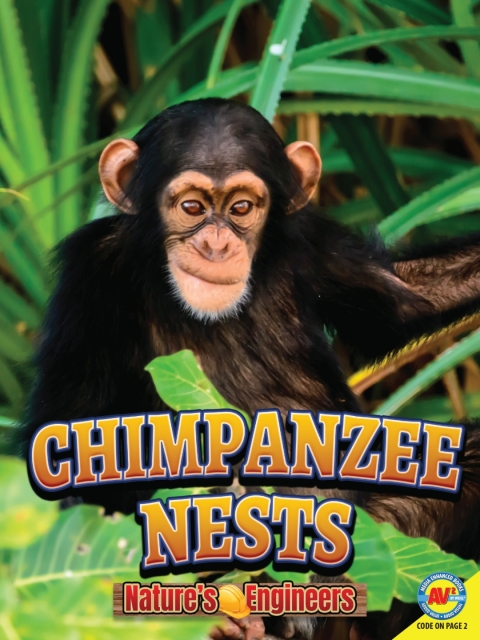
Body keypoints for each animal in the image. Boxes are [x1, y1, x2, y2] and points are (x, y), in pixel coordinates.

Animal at [18, 98, 480, 640]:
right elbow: (69, 443)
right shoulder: (89, 278)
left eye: (241, 208)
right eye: (192, 207)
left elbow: (406, 301)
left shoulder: (314, 241)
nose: (217, 244)